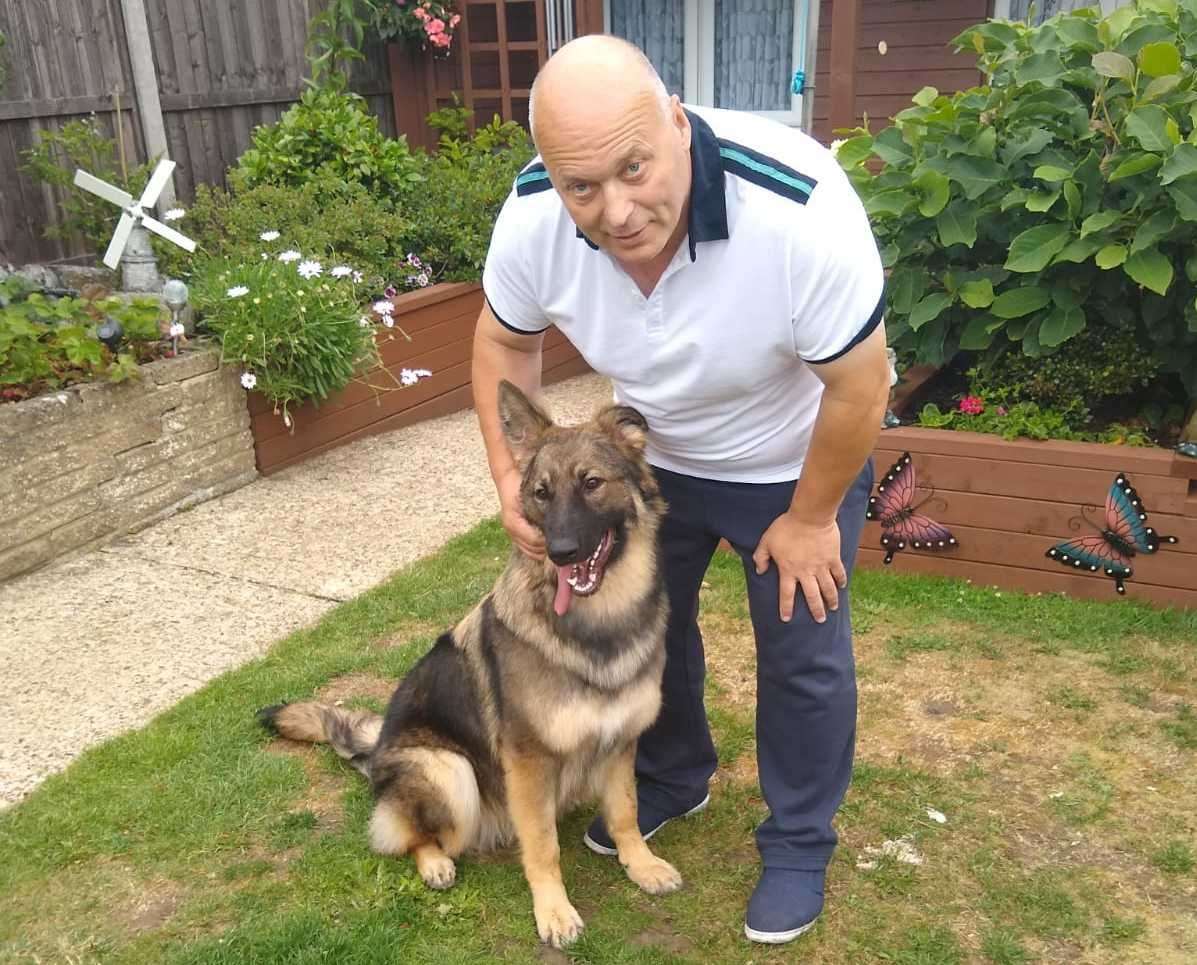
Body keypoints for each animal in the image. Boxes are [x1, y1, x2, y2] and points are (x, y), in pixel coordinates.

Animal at [256, 380, 679, 948]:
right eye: (541, 494)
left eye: (592, 483)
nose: (561, 552)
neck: (598, 624)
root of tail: (379, 746)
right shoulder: (527, 762)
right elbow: (542, 845)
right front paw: (553, 911)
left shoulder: (619, 743)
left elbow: (626, 813)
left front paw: (642, 865)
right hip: (449, 770)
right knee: (406, 836)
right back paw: (435, 862)